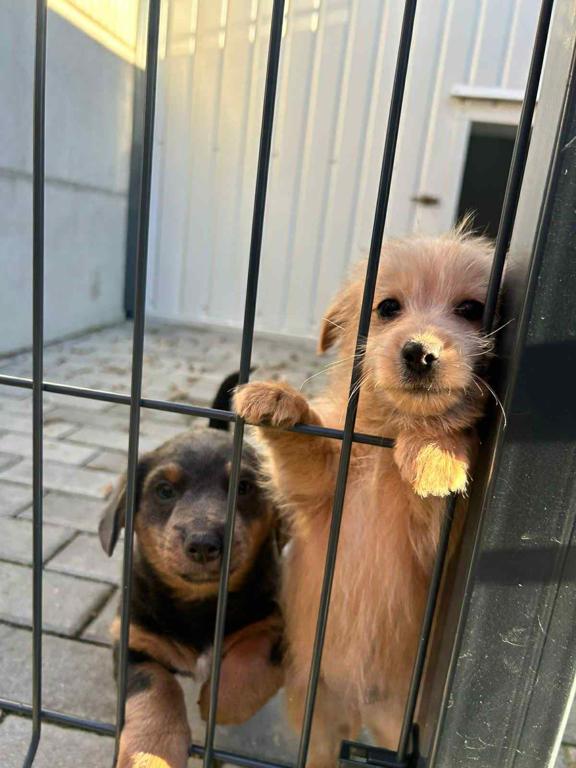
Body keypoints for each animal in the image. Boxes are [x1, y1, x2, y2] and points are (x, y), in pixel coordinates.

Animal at [99, 376, 283, 768]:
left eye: (244, 487)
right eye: (164, 491)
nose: (203, 543)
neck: (201, 603)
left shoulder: (277, 623)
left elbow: (254, 654)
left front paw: (220, 701)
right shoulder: (133, 640)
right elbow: (156, 686)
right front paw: (151, 751)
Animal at [234, 227, 496, 766]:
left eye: (470, 309)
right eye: (388, 307)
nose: (420, 352)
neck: (381, 448)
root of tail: (359, 710)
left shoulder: (435, 540)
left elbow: (440, 459)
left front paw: (435, 449)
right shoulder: (318, 489)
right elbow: (307, 448)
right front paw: (278, 398)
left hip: (395, 724)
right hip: (316, 716)